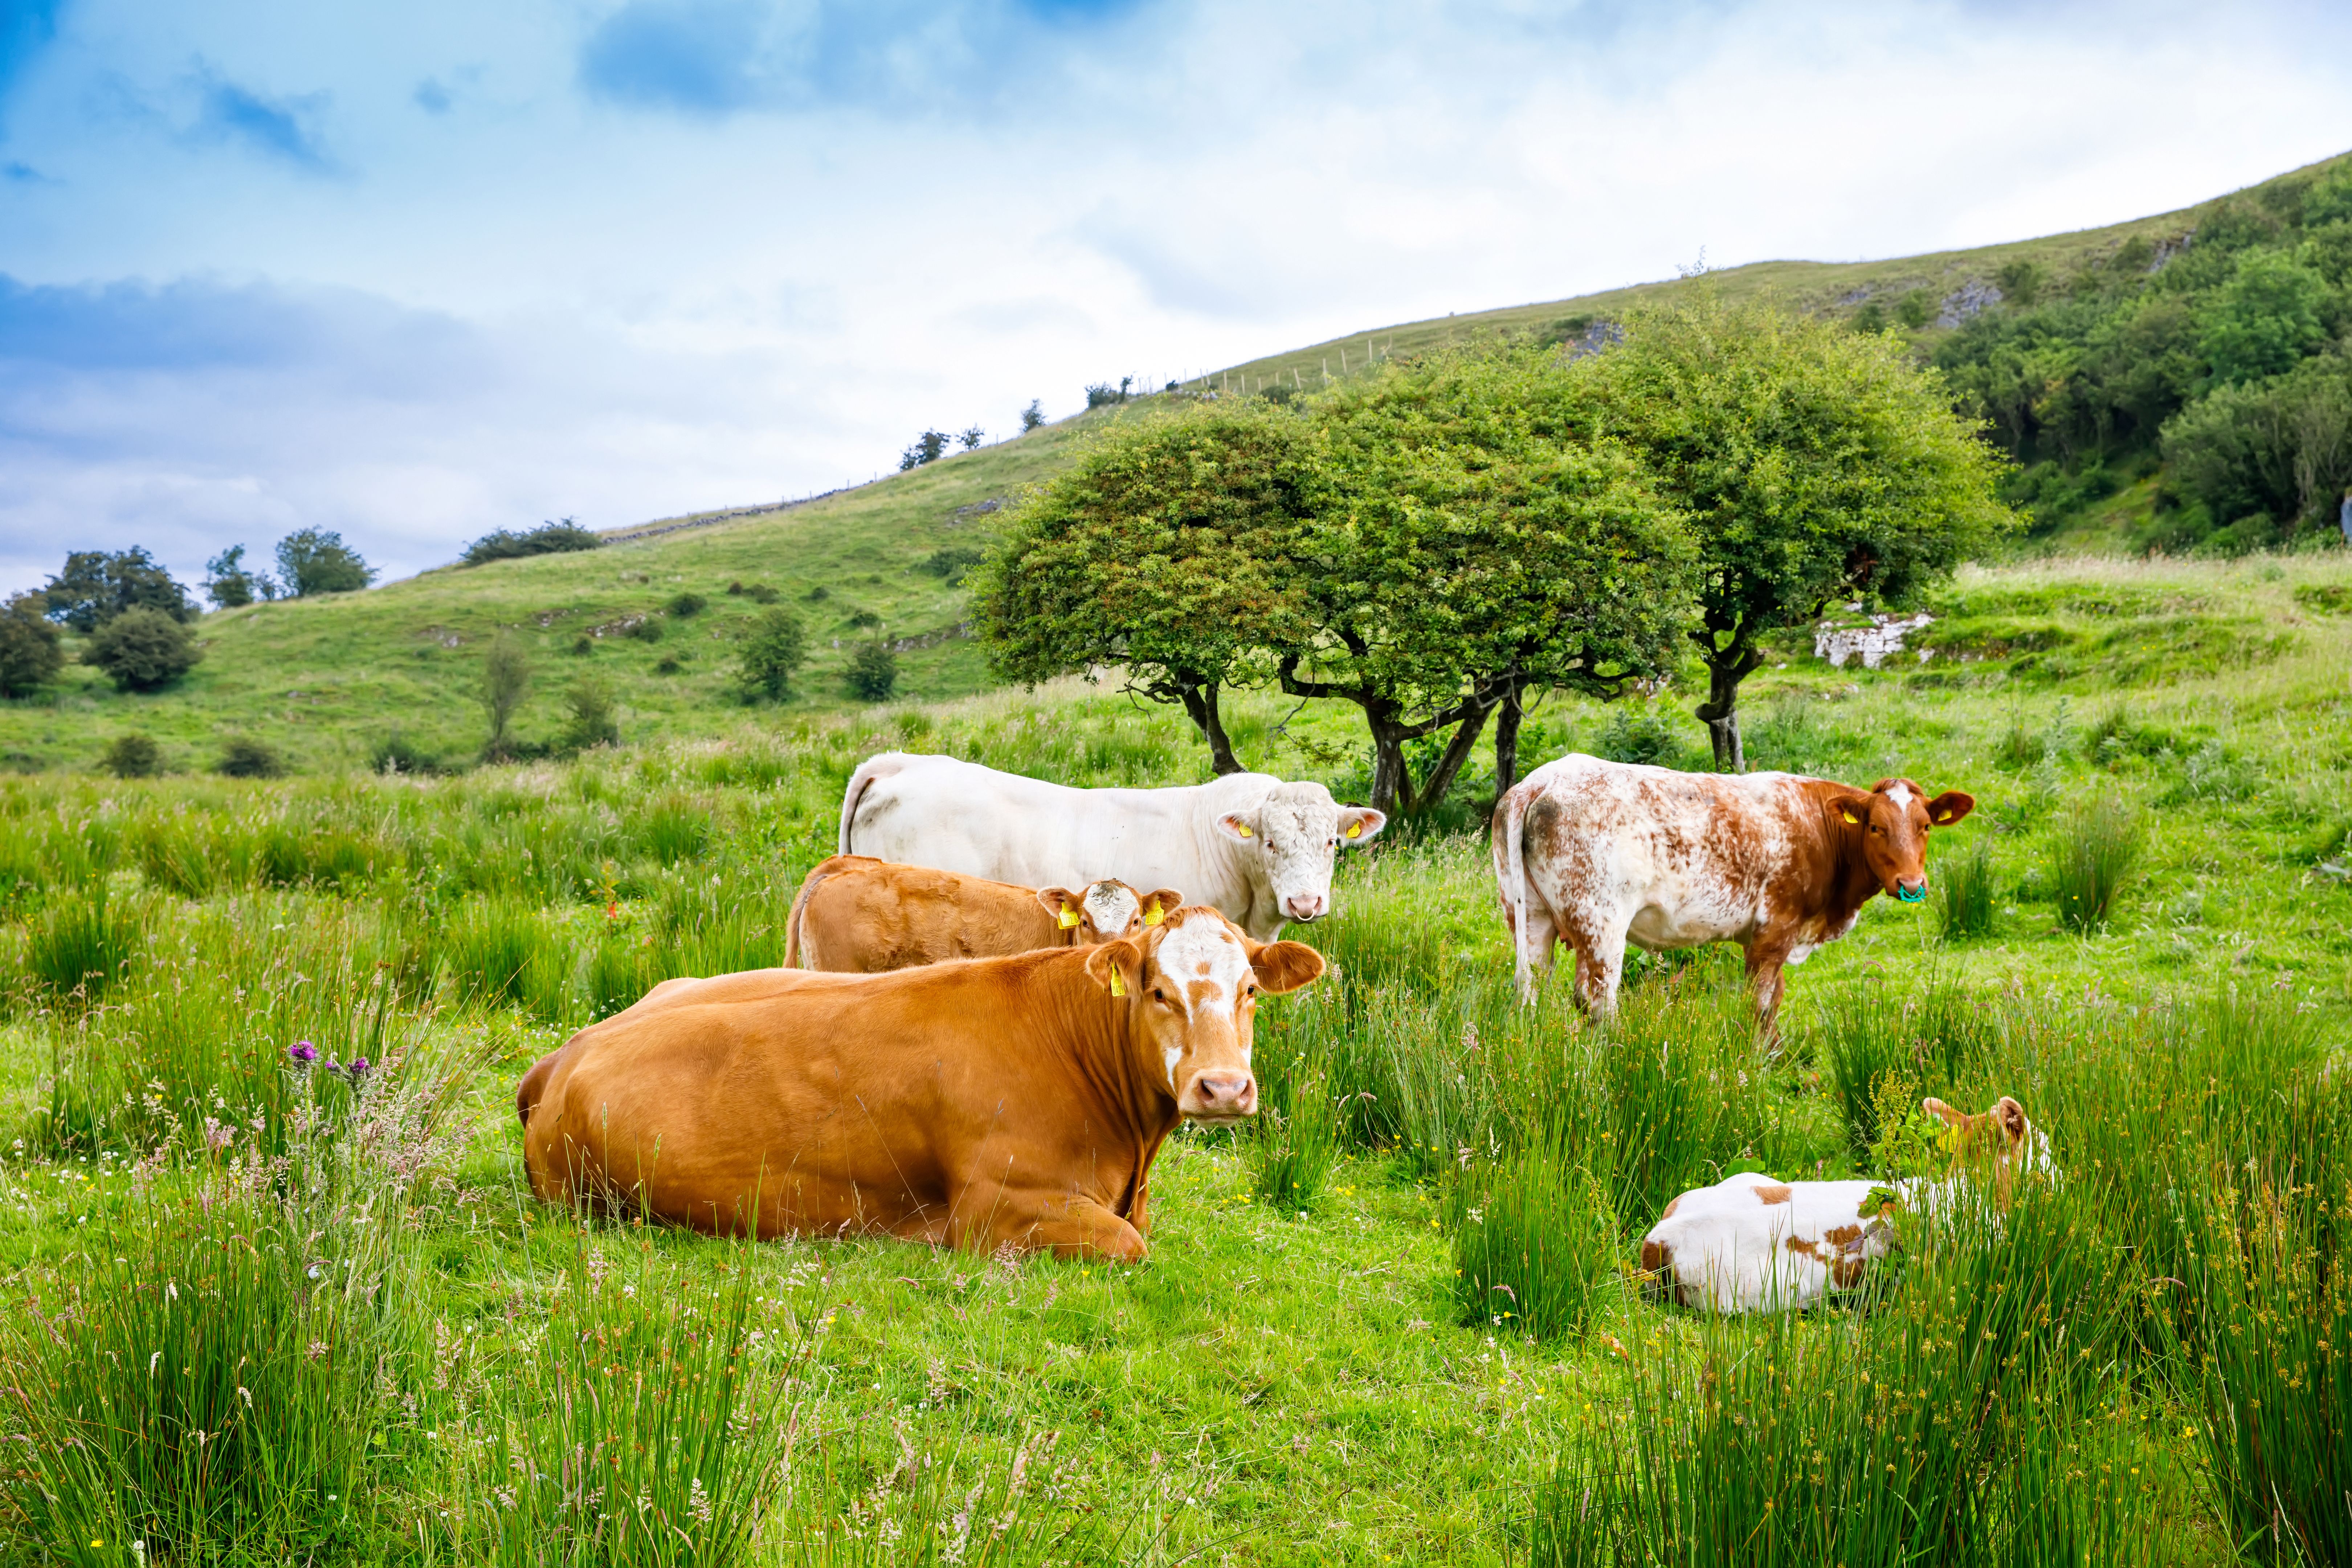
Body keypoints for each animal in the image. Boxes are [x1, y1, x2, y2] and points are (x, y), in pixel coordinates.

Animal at [516, 905, 1324, 1260]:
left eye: (1251, 990)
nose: (1224, 1088)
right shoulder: (998, 1209)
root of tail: (566, 1056)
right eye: (1158, 992)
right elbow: (1131, 1244)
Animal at [1490, 754, 1974, 1032]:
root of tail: (1540, 781)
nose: (1911, 885)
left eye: (1925, 826)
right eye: (1876, 827)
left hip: (1528, 916)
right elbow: (1760, 1004)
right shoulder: (1775, 929)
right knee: (1598, 1002)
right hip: (1601, 926)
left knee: (1533, 988)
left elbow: (1775, 1000)